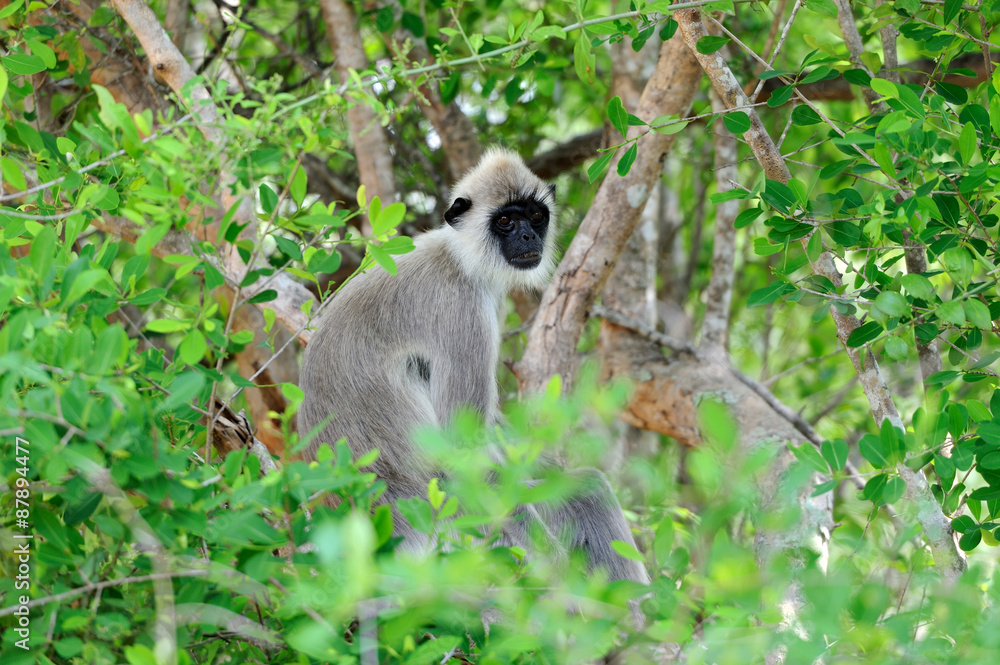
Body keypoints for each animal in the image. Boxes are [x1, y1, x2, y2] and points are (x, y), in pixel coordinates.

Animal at [298, 147, 648, 588]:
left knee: (588, 488)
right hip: (458, 527)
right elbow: (466, 449)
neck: (458, 256)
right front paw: (560, 572)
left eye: (536, 216)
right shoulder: (461, 306)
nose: (528, 237)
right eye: (505, 221)